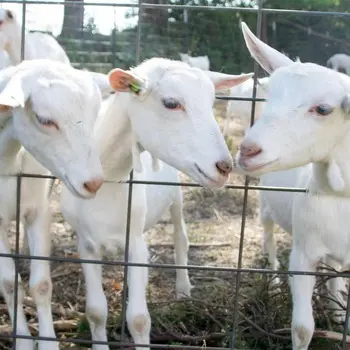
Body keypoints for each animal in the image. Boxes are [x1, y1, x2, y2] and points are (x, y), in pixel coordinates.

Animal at [0, 58, 111, 348]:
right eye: (44, 120)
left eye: (95, 115)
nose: (93, 182)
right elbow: (9, 284)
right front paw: (23, 341)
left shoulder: (38, 211)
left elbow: (40, 285)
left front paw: (47, 341)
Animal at [59, 58, 252, 350]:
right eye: (171, 103)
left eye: (211, 102)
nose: (225, 167)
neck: (110, 179)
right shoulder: (86, 243)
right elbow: (95, 311)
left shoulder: (137, 243)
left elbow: (139, 319)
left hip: (177, 196)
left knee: (181, 238)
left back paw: (183, 289)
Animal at [237, 21, 350, 350]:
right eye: (267, 95)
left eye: (323, 109)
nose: (248, 150)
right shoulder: (302, 252)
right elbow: (301, 328)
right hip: (265, 208)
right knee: (270, 241)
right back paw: (274, 283)